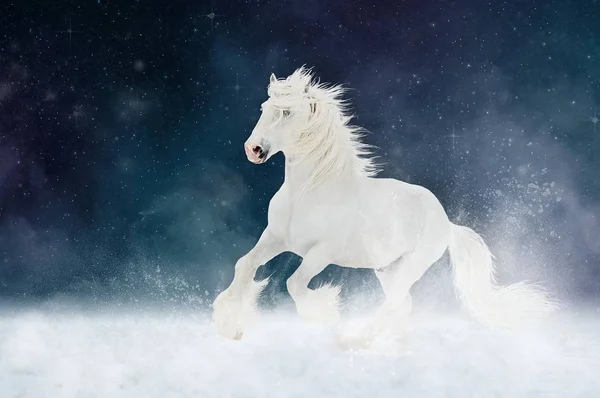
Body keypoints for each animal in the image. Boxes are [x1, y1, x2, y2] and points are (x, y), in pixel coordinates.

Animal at [213, 67, 556, 344]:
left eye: (286, 112)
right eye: (263, 108)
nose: (253, 150)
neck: (308, 193)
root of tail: (447, 223)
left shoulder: (322, 252)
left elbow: (294, 283)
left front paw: (325, 313)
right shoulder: (275, 238)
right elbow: (245, 265)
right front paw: (229, 324)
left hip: (411, 266)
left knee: (394, 304)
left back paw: (356, 339)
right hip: (387, 269)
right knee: (402, 304)